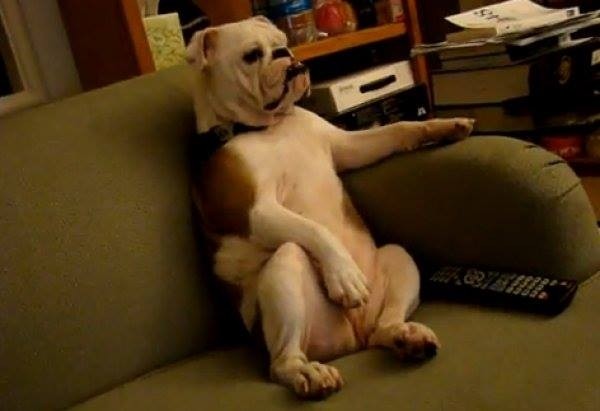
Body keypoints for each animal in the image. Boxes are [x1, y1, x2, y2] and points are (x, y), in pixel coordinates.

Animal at [187, 16, 474, 399]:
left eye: (281, 41)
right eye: (251, 55)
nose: (286, 53)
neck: (271, 126)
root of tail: (354, 337)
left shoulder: (349, 145)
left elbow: (398, 129)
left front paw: (446, 125)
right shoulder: (257, 213)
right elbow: (314, 229)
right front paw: (345, 276)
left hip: (398, 258)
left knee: (385, 325)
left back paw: (404, 337)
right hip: (287, 268)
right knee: (282, 359)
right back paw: (307, 373)